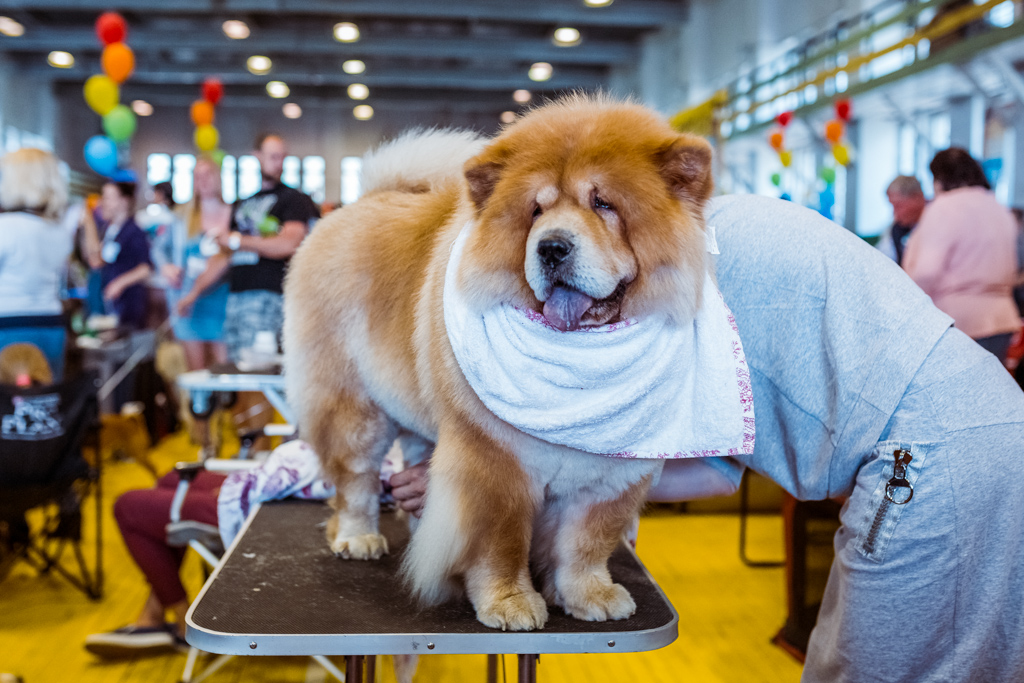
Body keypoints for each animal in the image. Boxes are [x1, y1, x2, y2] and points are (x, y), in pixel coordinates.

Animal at [280, 93, 712, 634]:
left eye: (603, 203)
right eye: (535, 210)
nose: (552, 246)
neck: (581, 363)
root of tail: (360, 203)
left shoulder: (611, 475)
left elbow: (587, 542)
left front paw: (589, 595)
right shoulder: (494, 461)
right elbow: (500, 541)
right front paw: (509, 603)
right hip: (354, 409)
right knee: (353, 478)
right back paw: (357, 537)